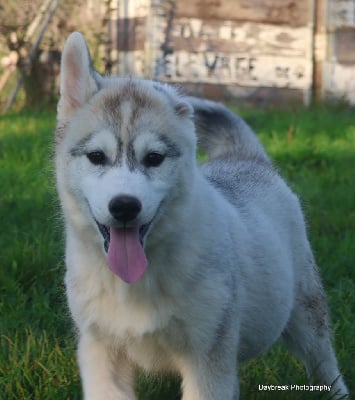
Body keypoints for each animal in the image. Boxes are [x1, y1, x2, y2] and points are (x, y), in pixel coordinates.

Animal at [55, 32, 350, 400]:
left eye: (154, 158)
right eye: (96, 156)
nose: (124, 206)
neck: (136, 283)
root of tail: (242, 157)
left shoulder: (208, 359)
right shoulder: (101, 355)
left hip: (306, 314)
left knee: (325, 365)